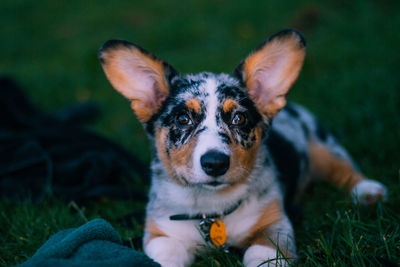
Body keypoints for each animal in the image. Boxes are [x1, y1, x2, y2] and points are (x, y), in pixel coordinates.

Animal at [98, 29, 386, 267]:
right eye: (182, 118)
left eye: (239, 118)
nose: (215, 163)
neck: (211, 207)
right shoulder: (160, 232)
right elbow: (165, 253)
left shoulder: (276, 224)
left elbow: (261, 253)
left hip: (322, 142)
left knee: (342, 166)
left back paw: (368, 191)